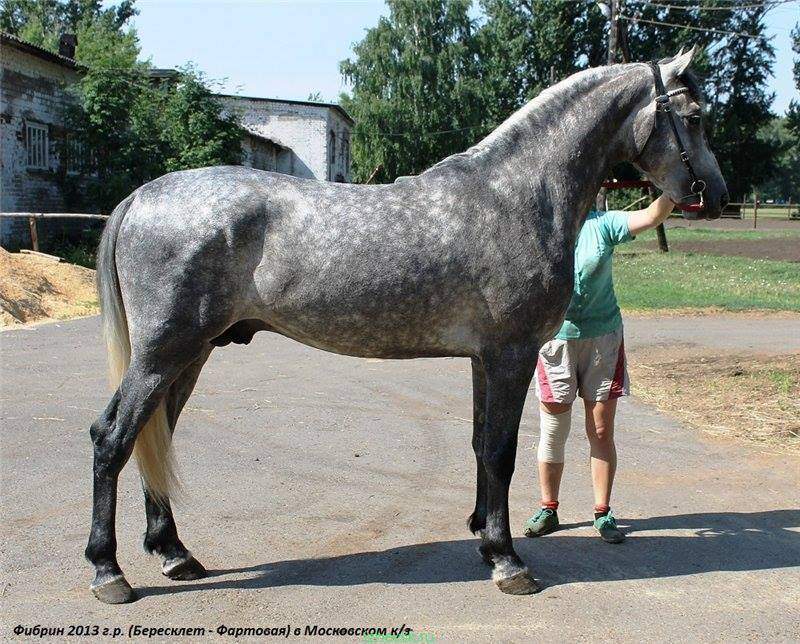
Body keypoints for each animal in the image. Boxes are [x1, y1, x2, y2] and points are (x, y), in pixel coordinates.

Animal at [86, 48, 727, 603]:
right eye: (694, 117)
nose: (715, 195)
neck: (517, 194)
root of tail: (142, 197)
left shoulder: (483, 360)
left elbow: (480, 445)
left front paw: (482, 535)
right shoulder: (512, 354)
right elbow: (501, 452)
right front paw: (507, 560)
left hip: (191, 354)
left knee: (154, 435)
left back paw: (173, 553)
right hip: (165, 352)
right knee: (113, 437)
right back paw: (108, 571)